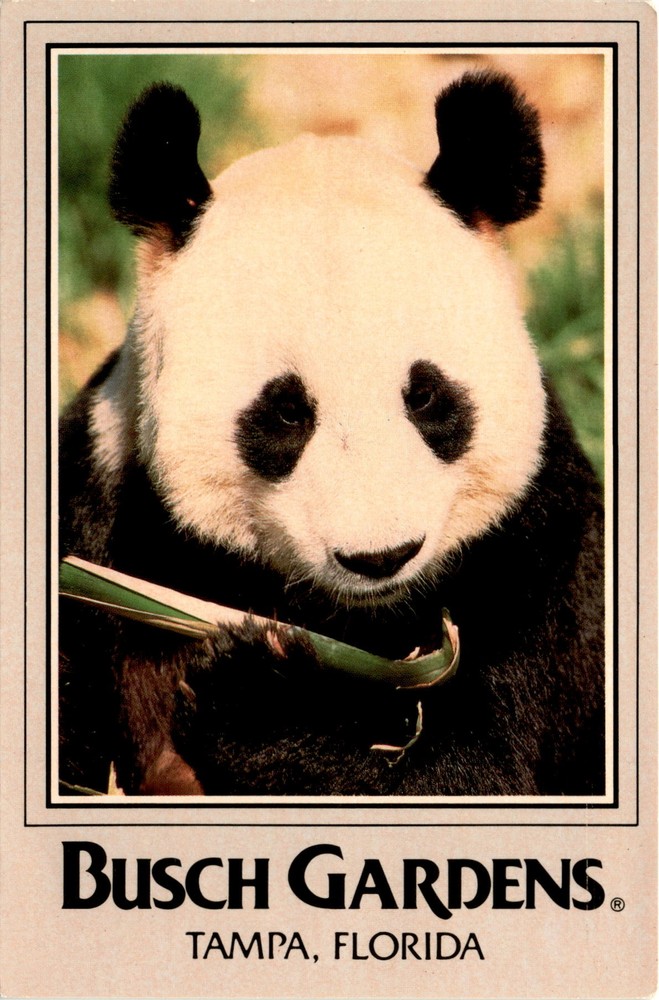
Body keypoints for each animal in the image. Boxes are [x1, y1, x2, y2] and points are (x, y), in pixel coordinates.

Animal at [59, 71, 604, 797]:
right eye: (286, 412)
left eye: (425, 396)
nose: (379, 557)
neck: (357, 619)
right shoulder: (105, 510)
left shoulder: (539, 557)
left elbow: (474, 770)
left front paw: (262, 696)